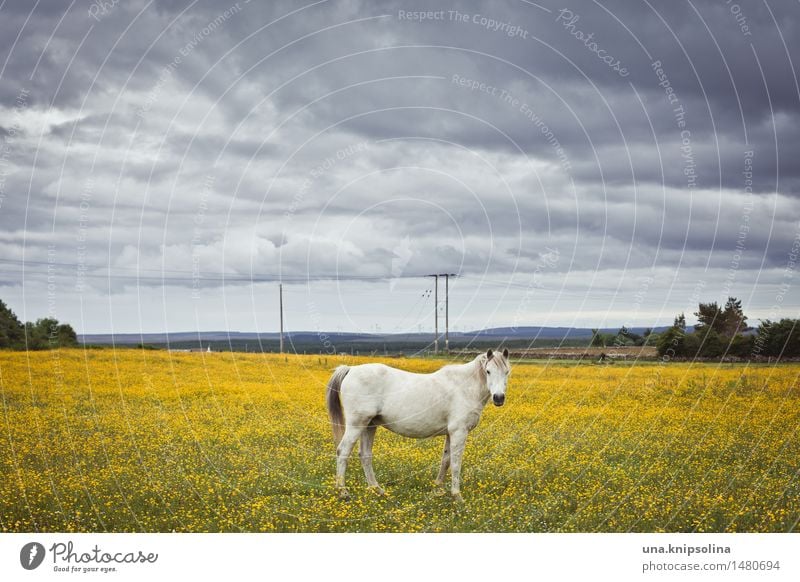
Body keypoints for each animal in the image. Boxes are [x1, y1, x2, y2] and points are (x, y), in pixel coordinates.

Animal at [326, 350, 510, 504]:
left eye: (506, 372)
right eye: (488, 371)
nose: (499, 398)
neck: (464, 386)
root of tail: (350, 369)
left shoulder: (450, 433)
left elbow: (445, 460)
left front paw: (437, 490)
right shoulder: (459, 432)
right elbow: (456, 463)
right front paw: (457, 496)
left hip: (369, 425)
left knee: (365, 455)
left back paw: (378, 490)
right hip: (357, 424)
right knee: (343, 451)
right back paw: (343, 492)